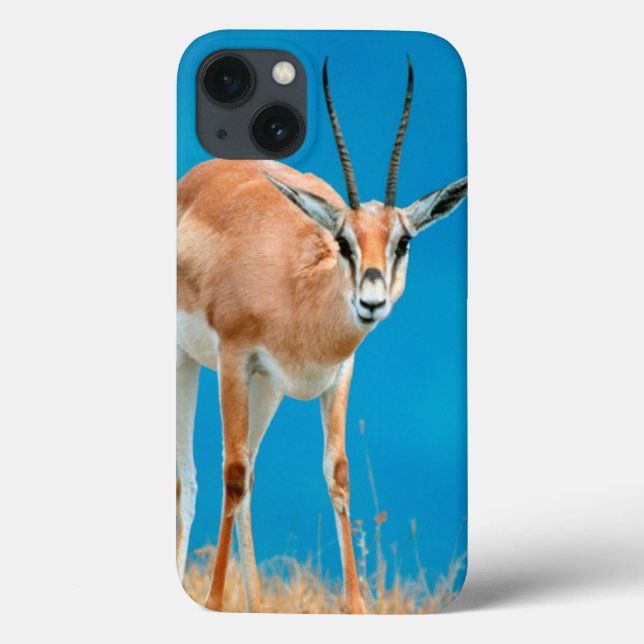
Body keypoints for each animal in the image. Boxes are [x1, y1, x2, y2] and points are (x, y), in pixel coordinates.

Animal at [177, 58, 467, 614]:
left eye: (402, 241)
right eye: (343, 241)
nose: (371, 300)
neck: (297, 293)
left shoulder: (336, 373)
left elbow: (336, 473)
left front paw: (356, 607)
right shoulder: (233, 357)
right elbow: (231, 473)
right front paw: (216, 602)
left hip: (265, 388)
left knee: (249, 471)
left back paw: (257, 605)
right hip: (186, 362)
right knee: (193, 474)